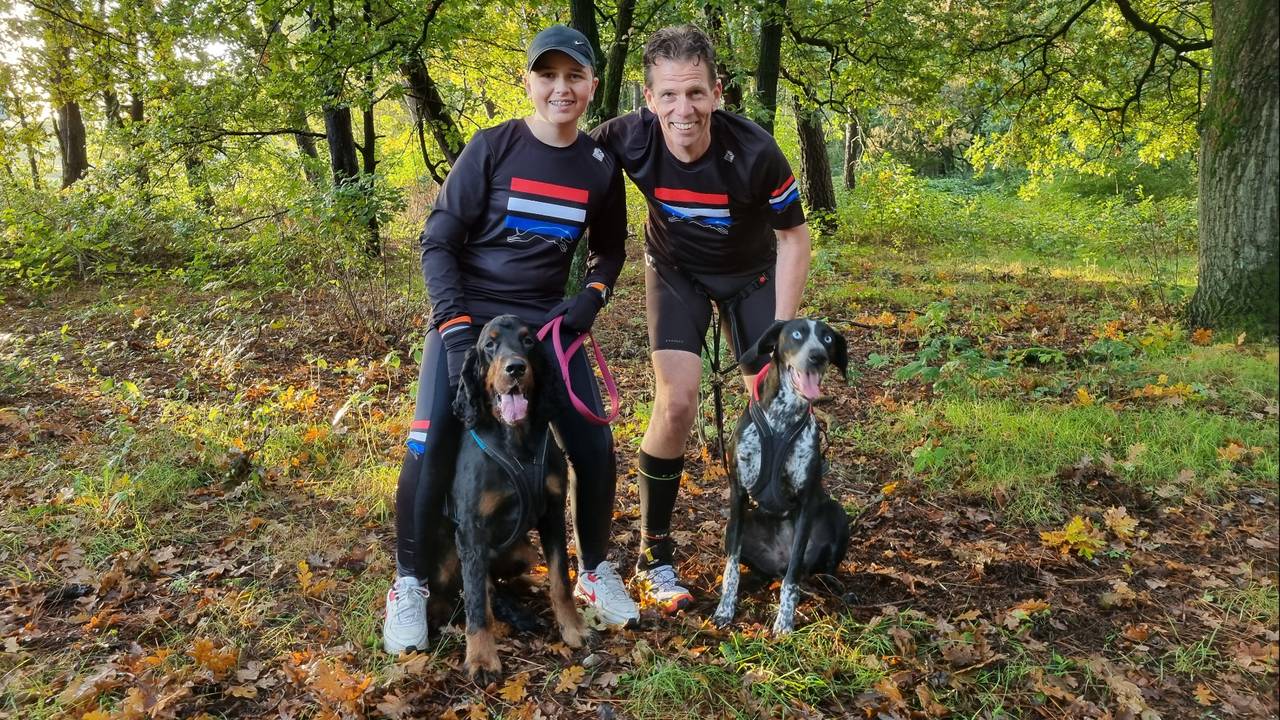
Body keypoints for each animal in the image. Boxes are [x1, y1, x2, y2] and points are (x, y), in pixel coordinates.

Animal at [435, 312, 586, 676]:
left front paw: (572, 627)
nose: (515, 368)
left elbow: (560, 578)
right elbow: (476, 600)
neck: (516, 441)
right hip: (447, 559)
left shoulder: (552, 513)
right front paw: (481, 657)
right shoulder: (472, 529)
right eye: (489, 345)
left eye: (528, 341)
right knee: (471, 590)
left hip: (523, 551)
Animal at [711, 316, 849, 630]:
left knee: (819, 569)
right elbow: (731, 567)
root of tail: (778, 561)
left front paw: (785, 621)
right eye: (797, 334)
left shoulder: (807, 503)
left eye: (827, 339)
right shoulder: (738, 494)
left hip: (837, 513)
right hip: (735, 527)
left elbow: (792, 579)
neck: (781, 420)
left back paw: (835, 586)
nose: (817, 356)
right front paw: (726, 607)